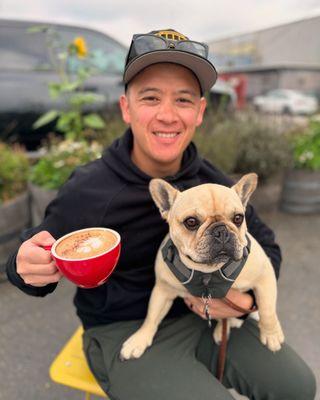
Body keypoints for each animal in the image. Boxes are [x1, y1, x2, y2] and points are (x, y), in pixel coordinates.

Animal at [120, 173, 284, 360]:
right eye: (191, 222)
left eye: (238, 218)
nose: (221, 230)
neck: (208, 272)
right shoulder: (162, 290)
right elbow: (152, 315)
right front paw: (139, 339)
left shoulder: (265, 276)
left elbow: (267, 310)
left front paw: (271, 334)